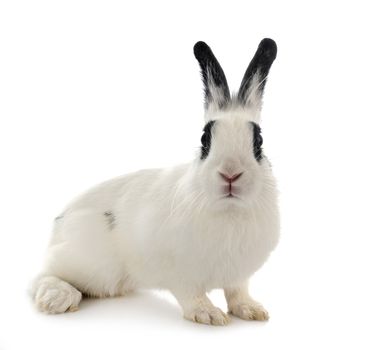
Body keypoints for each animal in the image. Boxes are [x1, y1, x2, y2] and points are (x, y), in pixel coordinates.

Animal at [32, 38, 280, 326]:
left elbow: (237, 293)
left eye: (258, 142)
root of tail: (57, 228)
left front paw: (252, 310)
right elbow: (191, 294)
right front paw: (209, 315)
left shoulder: (239, 276)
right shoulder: (179, 273)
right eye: (205, 140)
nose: (230, 173)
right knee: (41, 276)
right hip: (88, 262)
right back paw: (58, 298)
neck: (229, 212)